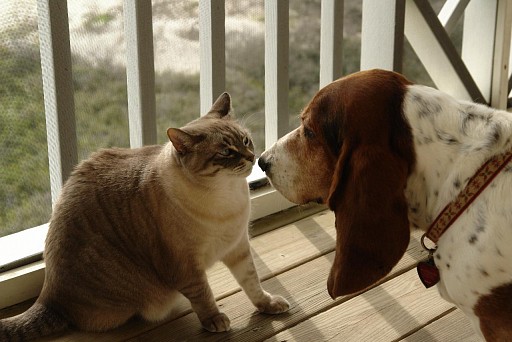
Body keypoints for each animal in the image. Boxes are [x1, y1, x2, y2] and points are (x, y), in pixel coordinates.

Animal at [0, 92, 288, 340]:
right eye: (227, 152)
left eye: (245, 141)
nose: (252, 157)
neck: (226, 196)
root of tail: (48, 297)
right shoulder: (186, 266)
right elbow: (204, 296)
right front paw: (215, 320)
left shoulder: (238, 246)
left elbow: (252, 283)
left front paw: (268, 305)